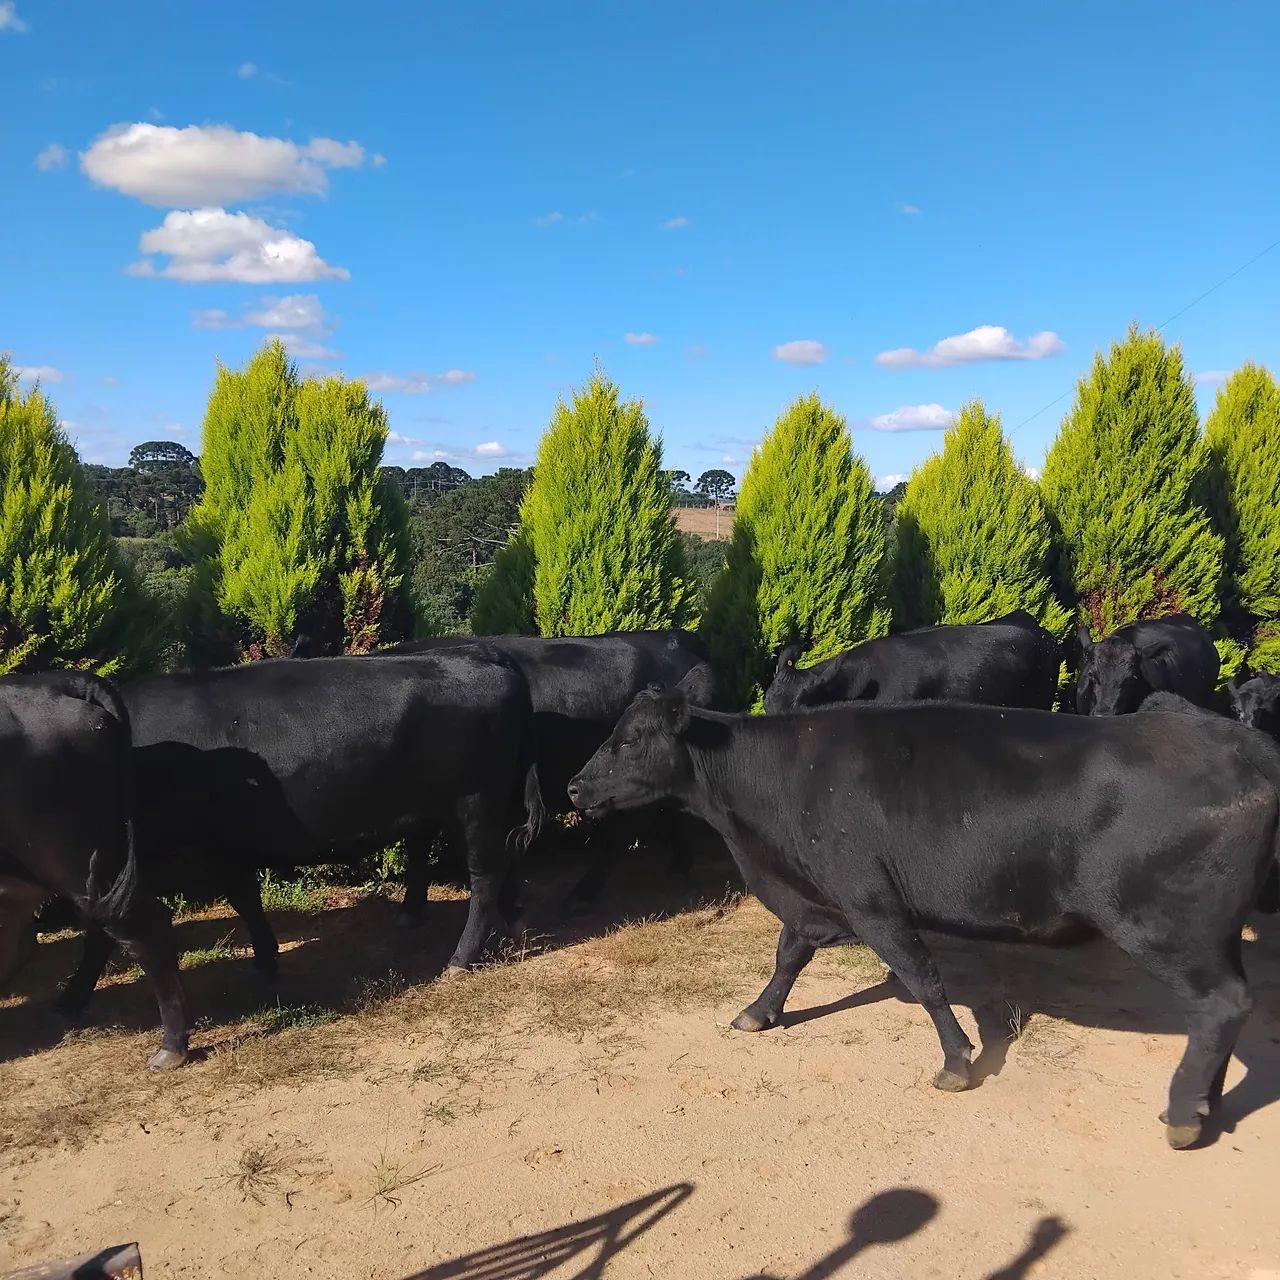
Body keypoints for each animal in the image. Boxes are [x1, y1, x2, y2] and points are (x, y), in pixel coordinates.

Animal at [55, 649, 543, 1018]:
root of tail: (479, 655)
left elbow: (101, 929)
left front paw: (71, 997)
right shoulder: (224, 844)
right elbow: (246, 899)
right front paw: (266, 959)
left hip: (475, 799)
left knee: (484, 873)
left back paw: (462, 957)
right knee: (503, 858)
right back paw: (509, 919)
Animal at [380, 630, 717, 915]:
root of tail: (676, 636)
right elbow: (418, 844)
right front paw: (413, 906)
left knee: (623, 831)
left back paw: (582, 894)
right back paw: (679, 864)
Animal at [567, 681, 1280, 1149]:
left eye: (629, 740)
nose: (574, 787)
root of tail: (1240, 742)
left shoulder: (871, 900)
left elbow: (924, 978)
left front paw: (958, 1063)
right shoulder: (816, 899)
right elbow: (789, 953)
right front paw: (759, 1012)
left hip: (1162, 927)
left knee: (1221, 1004)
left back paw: (1184, 1114)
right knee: (1226, 1006)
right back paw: (1205, 1102)